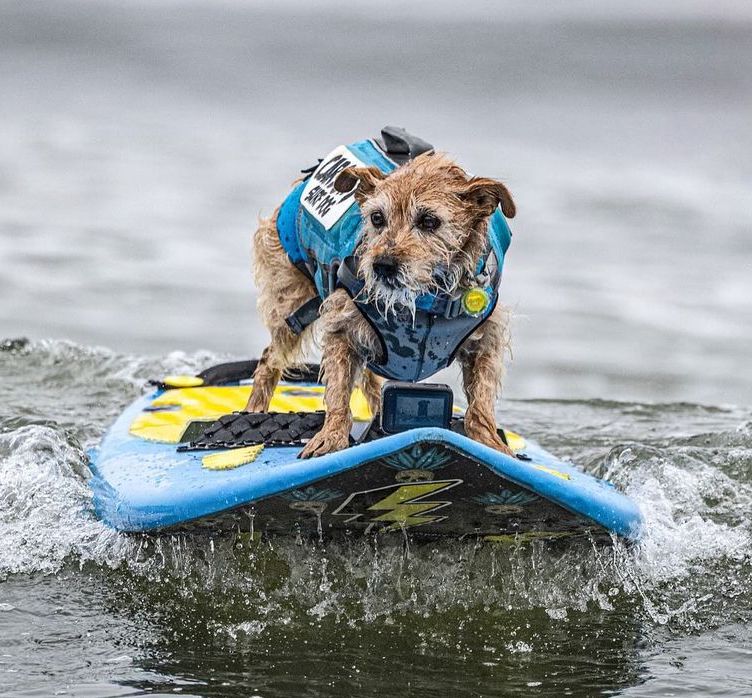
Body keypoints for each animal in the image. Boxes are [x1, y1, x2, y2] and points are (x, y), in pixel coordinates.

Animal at [247, 128, 516, 460]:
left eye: (429, 221)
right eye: (377, 218)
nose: (382, 265)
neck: (424, 303)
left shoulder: (485, 341)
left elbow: (481, 399)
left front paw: (490, 442)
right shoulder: (343, 327)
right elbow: (338, 391)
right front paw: (331, 436)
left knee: (372, 382)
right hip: (291, 304)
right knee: (269, 361)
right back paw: (253, 413)